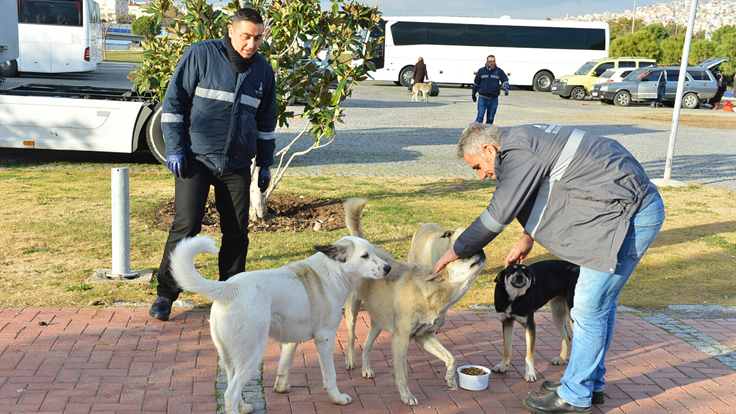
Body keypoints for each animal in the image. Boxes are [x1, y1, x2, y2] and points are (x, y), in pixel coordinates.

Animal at [170, 234, 394, 412]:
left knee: (231, 385)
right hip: (251, 356)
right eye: (365, 256)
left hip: (230, 358)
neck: (333, 271)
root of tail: (229, 288)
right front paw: (337, 398)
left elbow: (285, 366)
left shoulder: (291, 341)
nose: (388, 267)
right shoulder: (325, 339)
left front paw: (281, 388)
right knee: (230, 393)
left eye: (373, 252)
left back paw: (245, 407)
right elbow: (330, 376)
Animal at [342, 199, 486, 406]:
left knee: (367, 345)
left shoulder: (425, 336)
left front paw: (450, 379)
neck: (434, 293)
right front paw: (406, 396)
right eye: (462, 252)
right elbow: (402, 374)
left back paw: (366, 369)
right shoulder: (400, 339)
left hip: (378, 322)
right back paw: (350, 360)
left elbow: (451, 358)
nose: (481, 247)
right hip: (352, 310)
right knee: (352, 336)